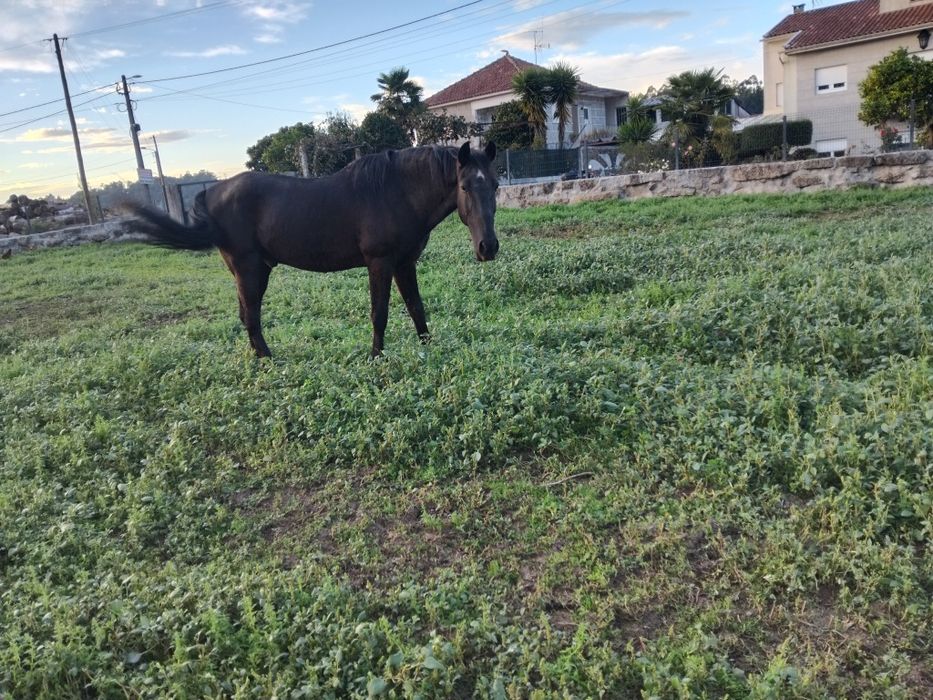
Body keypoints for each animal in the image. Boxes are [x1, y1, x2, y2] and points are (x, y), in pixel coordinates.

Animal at [126, 141, 499, 358]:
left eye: (495, 185)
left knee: (246, 316)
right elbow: (379, 313)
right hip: (249, 269)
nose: (488, 247)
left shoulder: (405, 263)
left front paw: (428, 350)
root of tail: (212, 192)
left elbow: (416, 308)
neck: (396, 192)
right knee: (252, 316)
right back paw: (268, 361)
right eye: (465, 186)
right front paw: (376, 357)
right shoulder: (380, 263)